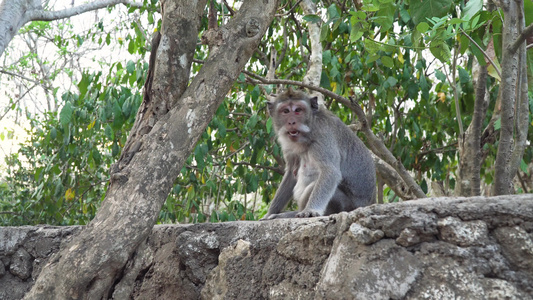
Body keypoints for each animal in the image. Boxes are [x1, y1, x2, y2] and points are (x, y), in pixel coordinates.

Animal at [262, 88, 374, 219]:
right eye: (285, 111)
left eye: (298, 110)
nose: (292, 122)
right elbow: (291, 173)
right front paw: (270, 212)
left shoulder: (323, 135)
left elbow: (330, 171)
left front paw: (310, 210)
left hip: (345, 205)